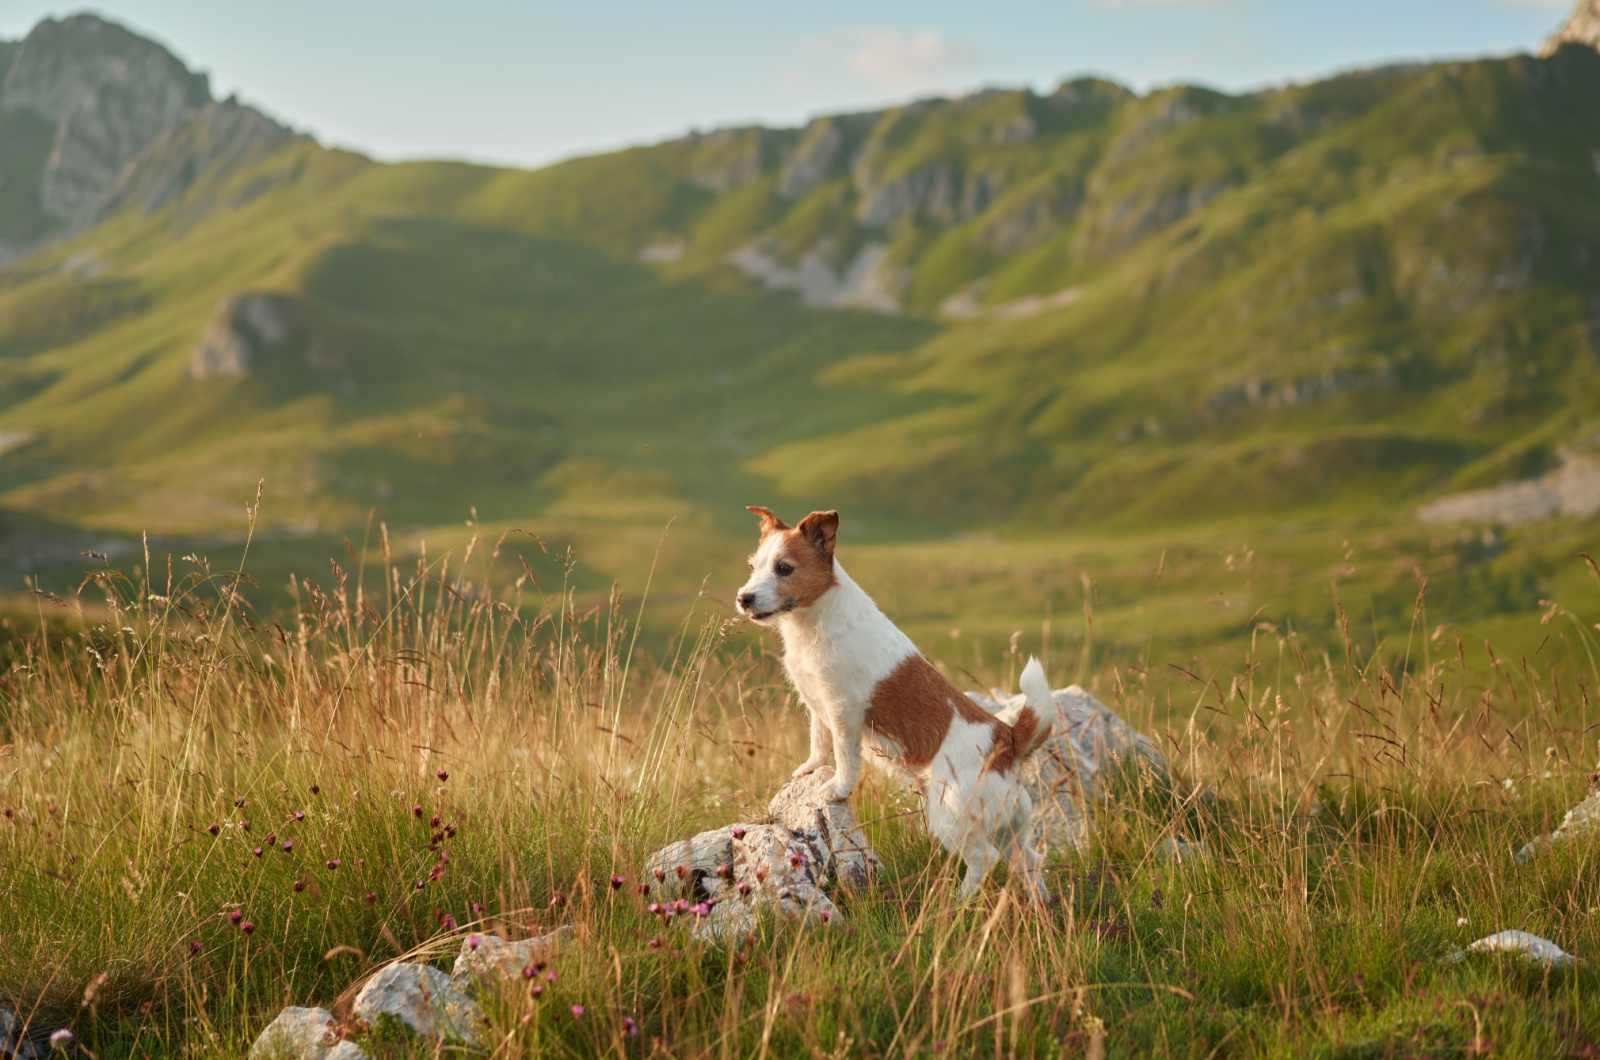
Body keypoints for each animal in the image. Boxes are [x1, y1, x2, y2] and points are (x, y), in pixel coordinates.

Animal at [732, 512, 1056, 903]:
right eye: (752, 566)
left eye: (784, 568)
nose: (743, 598)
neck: (817, 618)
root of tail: (1007, 740)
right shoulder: (818, 702)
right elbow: (818, 742)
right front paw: (809, 769)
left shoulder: (843, 708)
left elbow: (843, 754)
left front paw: (838, 788)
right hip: (1010, 827)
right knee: (1030, 859)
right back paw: (1041, 903)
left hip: (952, 817)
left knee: (983, 859)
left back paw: (955, 901)